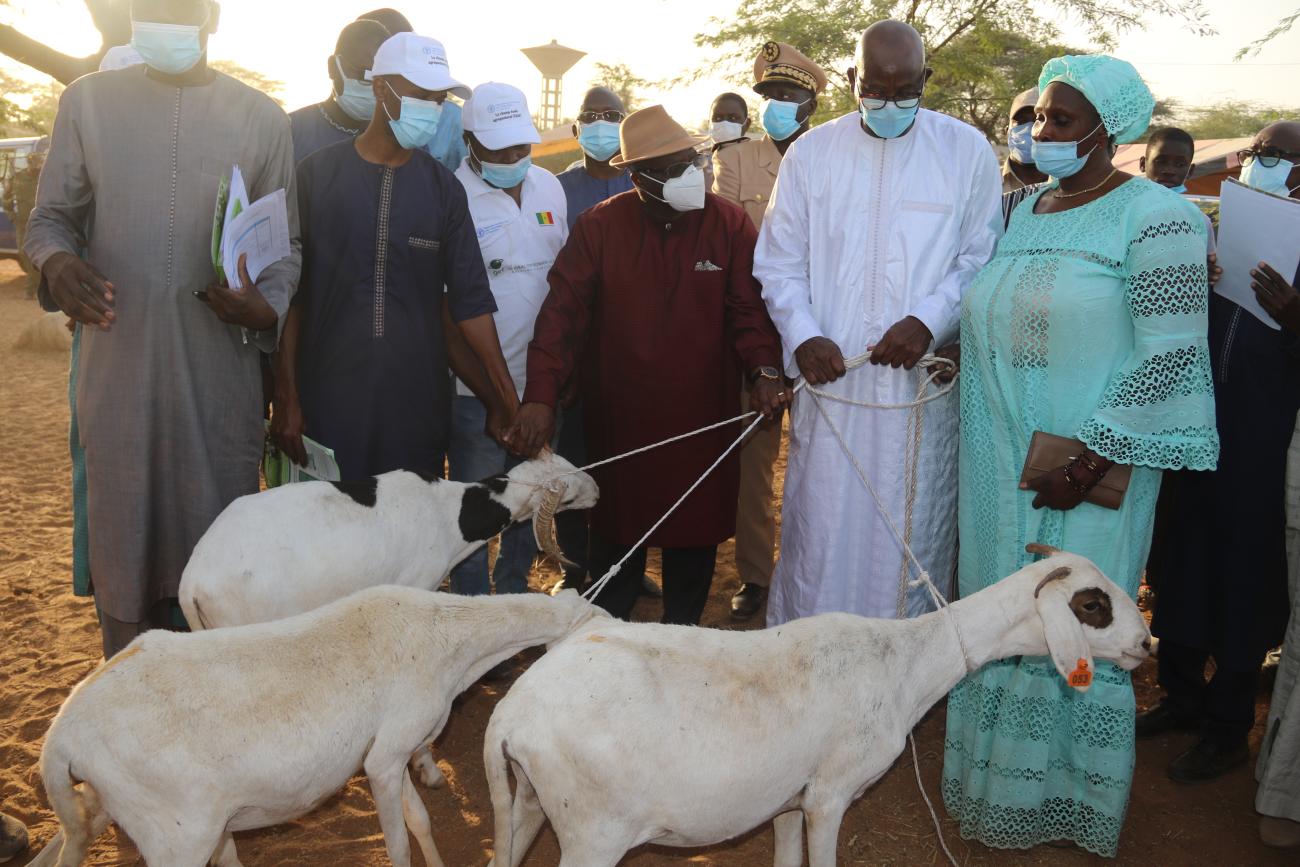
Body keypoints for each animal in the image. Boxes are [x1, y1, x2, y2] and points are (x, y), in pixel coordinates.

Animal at [25, 582, 603, 867]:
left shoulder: (392, 752)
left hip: (122, 810)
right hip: (174, 834)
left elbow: (420, 822)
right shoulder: (386, 755)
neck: (450, 639)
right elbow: (397, 842)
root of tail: (61, 736)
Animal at [486, 548, 1149, 867]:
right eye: (1094, 606)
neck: (907, 664)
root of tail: (511, 714)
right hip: (592, 833)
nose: (1148, 644)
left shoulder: (787, 800)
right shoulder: (829, 796)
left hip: (529, 803)